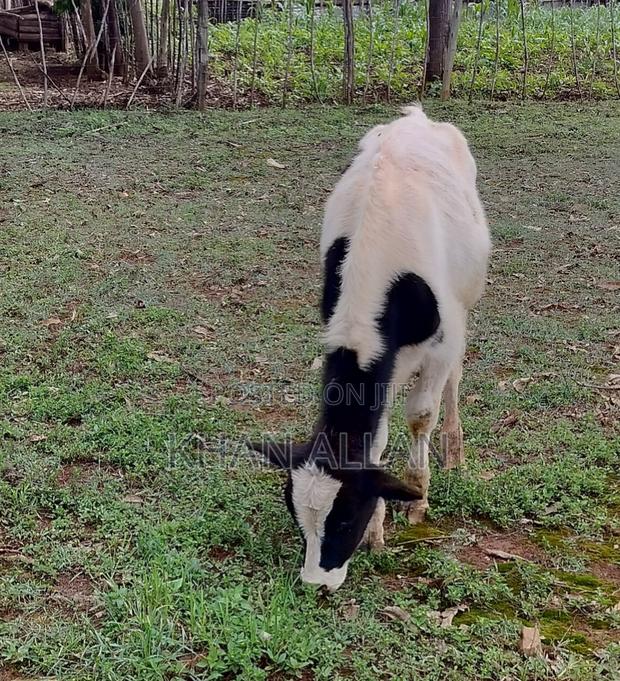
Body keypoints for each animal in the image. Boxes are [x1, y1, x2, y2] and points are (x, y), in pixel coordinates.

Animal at [249, 106, 491, 591]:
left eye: (343, 520)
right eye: (297, 517)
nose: (316, 584)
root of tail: (417, 116)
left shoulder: (440, 343)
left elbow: (421, 415)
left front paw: (417, 497)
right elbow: (375, 440)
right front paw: (378, 528)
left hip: (465, 305)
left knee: (455, 378)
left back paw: (453, 447)